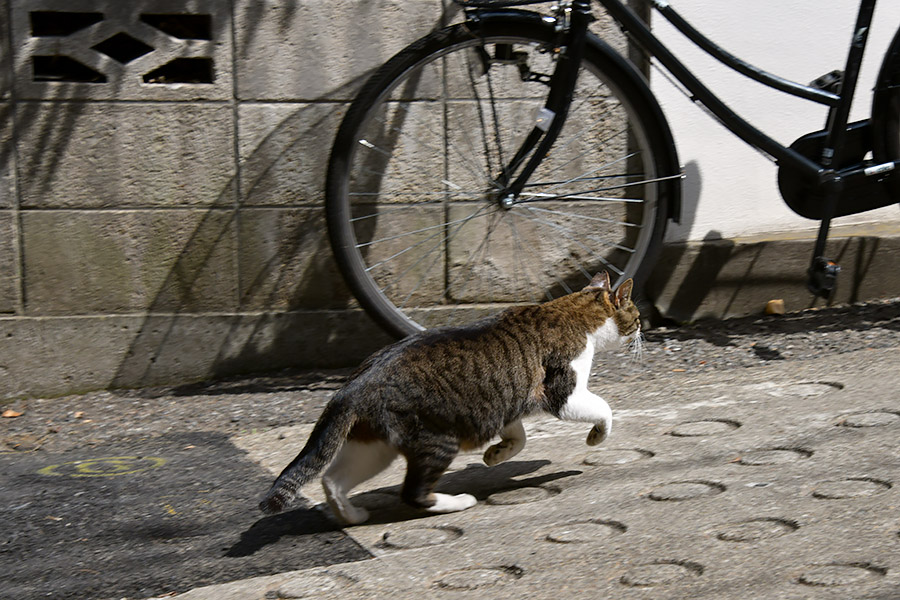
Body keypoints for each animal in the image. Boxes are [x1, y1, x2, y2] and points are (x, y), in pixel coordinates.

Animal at [260, 270, 640, 524]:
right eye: (636, 315)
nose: (643, 331)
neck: (573, 312)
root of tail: (351, 387)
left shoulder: (506, 401)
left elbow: (518, 437)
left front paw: (496, 454)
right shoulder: (563, 393)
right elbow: (603, 408)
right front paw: (596, 436)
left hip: (374, 447)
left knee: (332, 480)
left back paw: (351, 516)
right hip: (436, 439)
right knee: (413, 493)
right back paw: (457, 502)